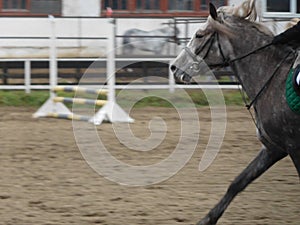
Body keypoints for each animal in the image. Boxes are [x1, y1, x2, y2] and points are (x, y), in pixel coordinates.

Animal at [170, 0, 298, 224]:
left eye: (200, 35)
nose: (174, 68)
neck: (275, 80)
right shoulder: (274, 147)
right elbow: (237, 183)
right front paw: (208, 219)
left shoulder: (294, 147)